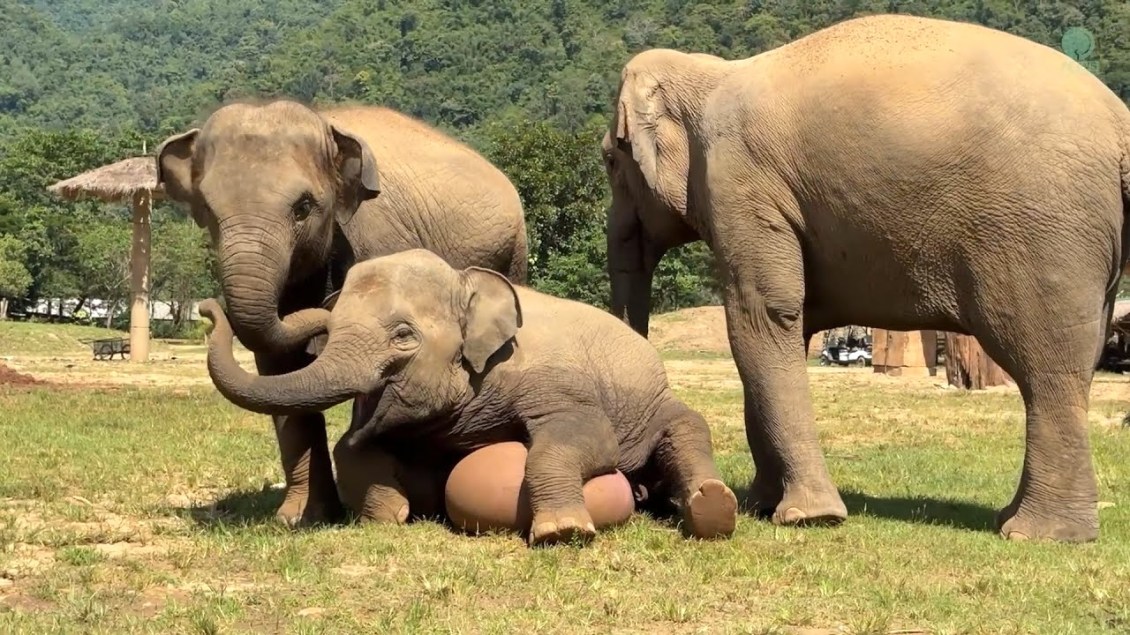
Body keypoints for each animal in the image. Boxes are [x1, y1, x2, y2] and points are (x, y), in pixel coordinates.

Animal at [155, 99, 528, 528]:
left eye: (303, 207)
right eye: (207, 211)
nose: (206, 307)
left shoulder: (378, 239)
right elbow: (278, 372)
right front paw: (300, 518)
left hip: (513, 251)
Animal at [196, 248, 739, 546]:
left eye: (403, 336)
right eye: (329, 332)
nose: (205, 308)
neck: (466, 279)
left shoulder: (551, 375)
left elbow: (586, 435)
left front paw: (562, 531)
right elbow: (352, 449)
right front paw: (390, 515)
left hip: (657, 400)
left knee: (687, 426)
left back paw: (711, 507)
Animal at [602, 13, 1130, 542]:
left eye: (609, 159)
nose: (642, 493)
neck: (709, 73)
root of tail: (1120, 123)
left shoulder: (740, 184)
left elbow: (761, 318)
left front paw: (809, 517)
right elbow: (784, 329)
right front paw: (762, 505)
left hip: (1040, 236)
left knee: (1046, 370)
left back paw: (1036, 534)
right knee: (1078, 361)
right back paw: (1015, 520)